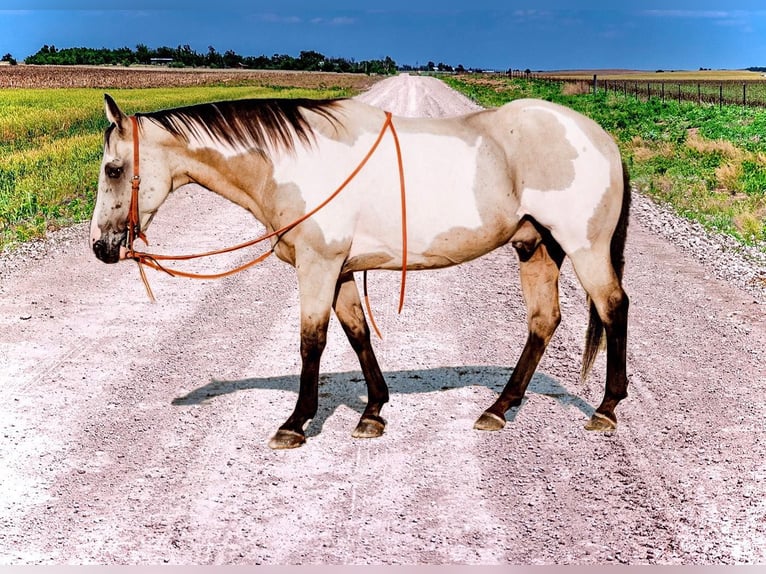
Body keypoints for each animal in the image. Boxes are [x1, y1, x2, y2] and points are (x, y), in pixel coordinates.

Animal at [90, 93, 632, 450]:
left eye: (114, 169)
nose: (100, 247)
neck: (294, 163)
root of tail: (600, 136)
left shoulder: (318, 265)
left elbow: (312, 341)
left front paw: (296, 422)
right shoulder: (341, 270)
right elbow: (356, 334)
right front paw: (373, 412)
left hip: (584, 248)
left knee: (613, 308)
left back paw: (606, 409)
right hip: (534, 247)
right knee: (544, 321)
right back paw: (498, 409)